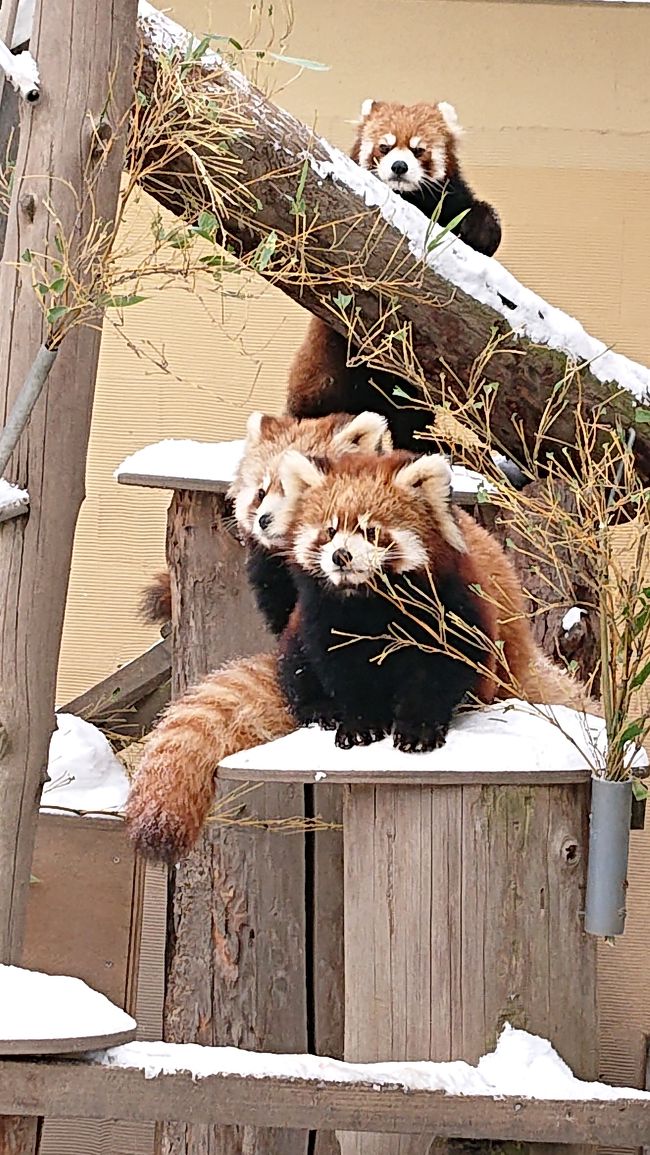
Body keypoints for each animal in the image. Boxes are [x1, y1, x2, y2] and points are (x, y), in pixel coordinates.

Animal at [288, 99, 503, 450]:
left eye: (418, 150)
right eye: (384, 147)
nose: (399, 167)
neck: (411, 200)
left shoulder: (451, 199)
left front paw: (482, 230)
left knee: (410, 420)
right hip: (328, 367)